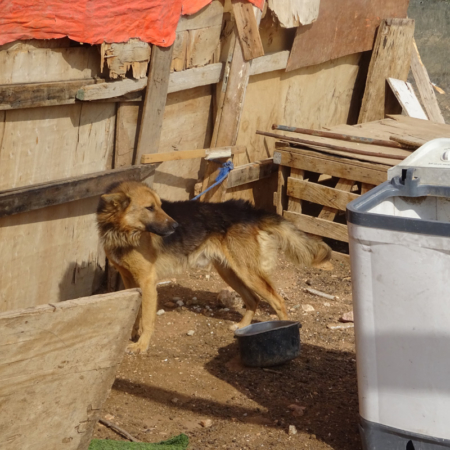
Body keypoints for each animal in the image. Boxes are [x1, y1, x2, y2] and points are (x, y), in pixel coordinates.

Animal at [98, 181, 330, 354]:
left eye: (160, 206)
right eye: (150, 208)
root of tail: (249, 210)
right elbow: (135, 314)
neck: (122, 232)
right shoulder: (129, 279)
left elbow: (146, 318)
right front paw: (132, 335)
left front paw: (141, 345)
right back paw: (243, 326)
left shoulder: (147, 281)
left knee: (277, 300)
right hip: (230, 272)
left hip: (247, 273)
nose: (176, 226)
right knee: (253, 299)